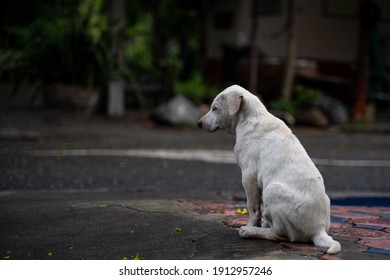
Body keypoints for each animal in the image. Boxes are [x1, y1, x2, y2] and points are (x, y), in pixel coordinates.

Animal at [198, 85, 342, 254]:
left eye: (214, 108)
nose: (198, 123)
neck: (251, 118)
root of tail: (318, 229)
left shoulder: (248, 176)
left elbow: (252, 207)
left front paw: (251, 225)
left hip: (272, 190)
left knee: (280, 235)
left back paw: (251, 231)